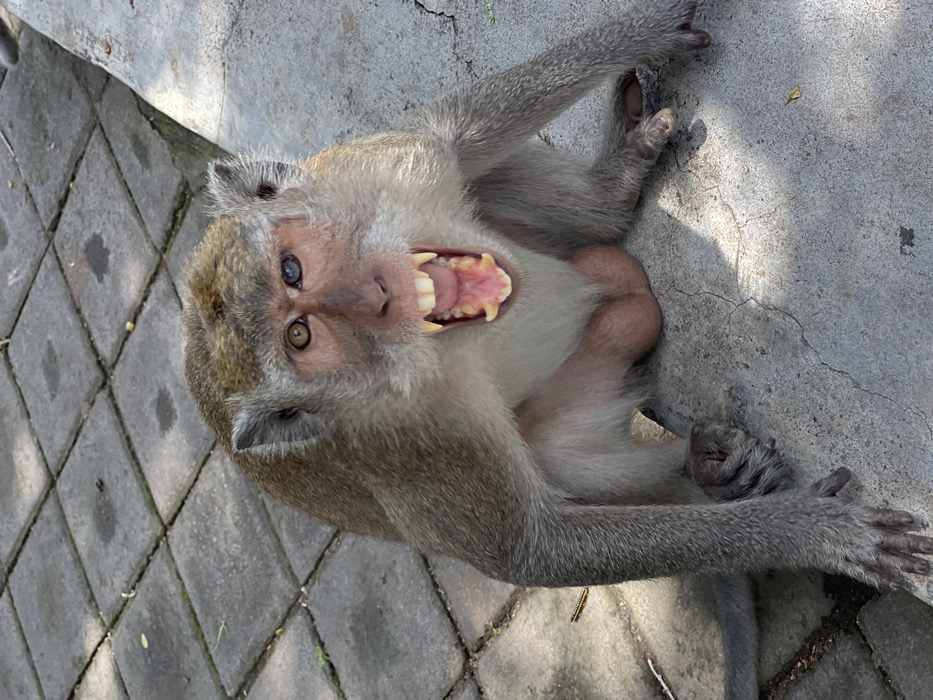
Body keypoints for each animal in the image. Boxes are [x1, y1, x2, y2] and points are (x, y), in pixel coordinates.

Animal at [181, 2, 933, 698]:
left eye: (292, 270)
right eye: (300, 337)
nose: (369, 295)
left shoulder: (381, 167)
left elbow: (455, 130)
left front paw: (649, 26)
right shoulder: (418, 447)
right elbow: (540, 553)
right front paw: (810, 531)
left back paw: (612, 193)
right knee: (566, 454)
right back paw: (705, 476)